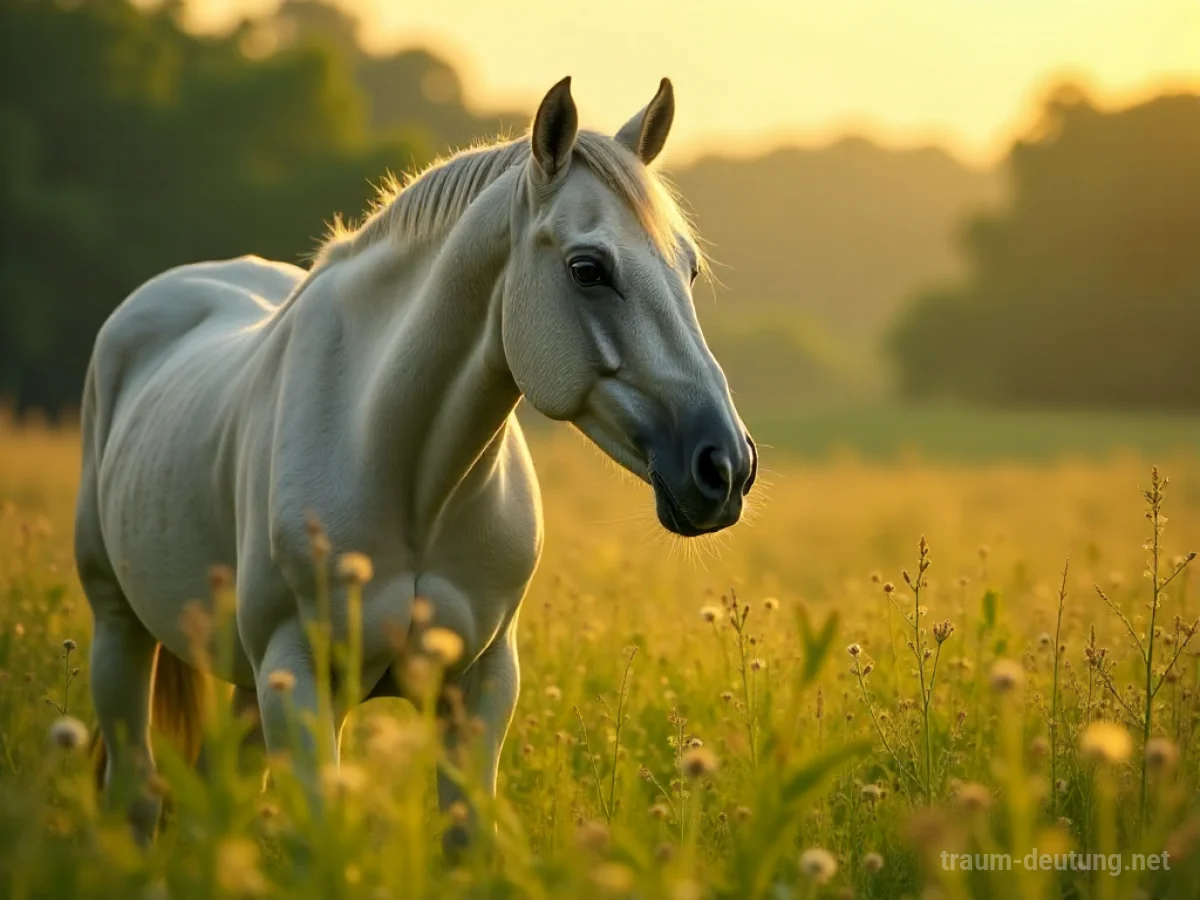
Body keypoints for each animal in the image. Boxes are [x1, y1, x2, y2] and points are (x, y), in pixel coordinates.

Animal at [76, 76, 757, 850]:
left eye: (689, 268)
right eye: (588, 269)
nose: (724, 466)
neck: (405, 472)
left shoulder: (480, 687)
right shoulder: (302, 678)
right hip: (121, 629)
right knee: (135, 787)